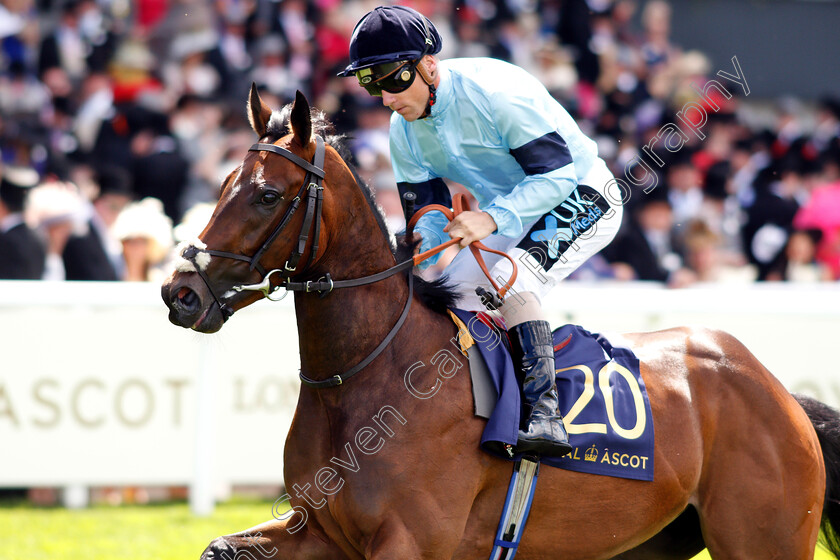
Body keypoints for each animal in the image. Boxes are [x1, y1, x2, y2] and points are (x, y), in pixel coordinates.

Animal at [161, 85, 840, 556]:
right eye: (221, 185)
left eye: (267, 196)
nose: (180, 293)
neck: (367, 373)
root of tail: (781, 394)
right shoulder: (320, 530)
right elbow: (218, 547)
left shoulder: (411, 541)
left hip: (763, 539)